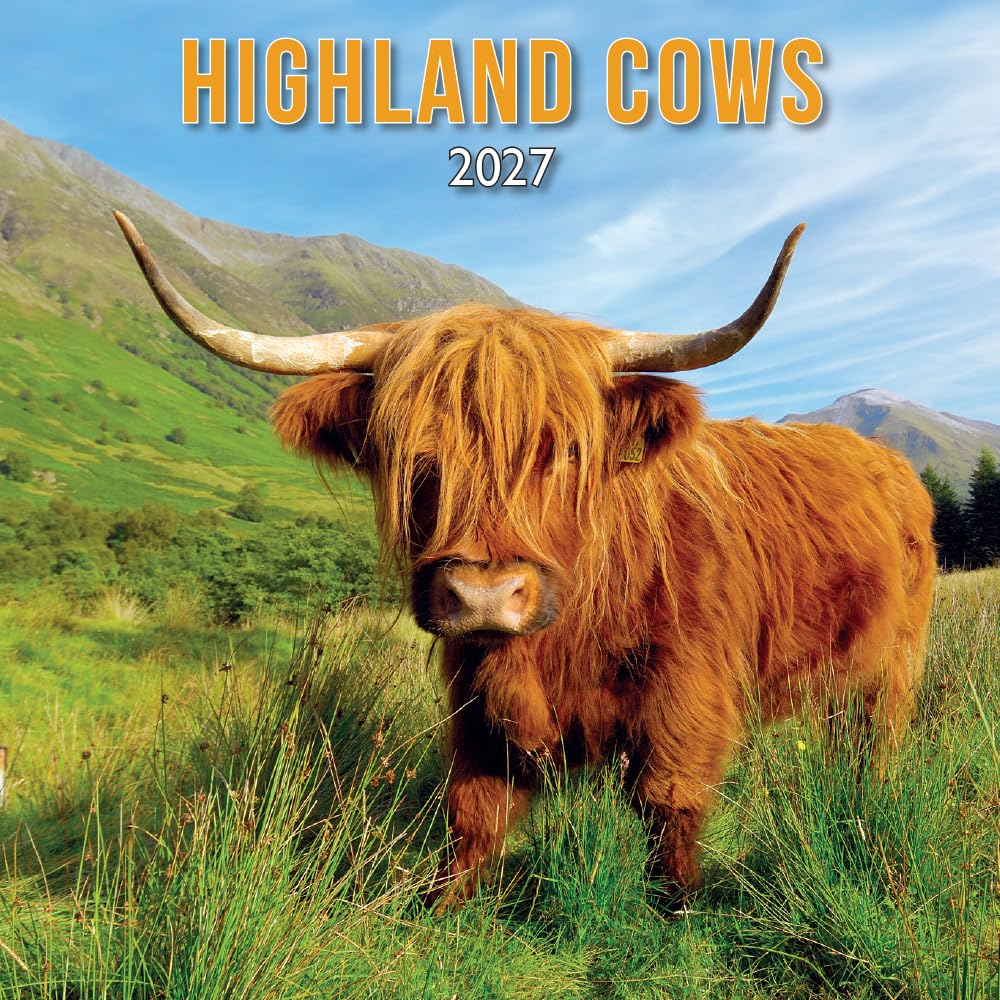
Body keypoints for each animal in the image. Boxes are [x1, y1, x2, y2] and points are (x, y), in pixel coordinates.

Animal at [113, 211, 936, 905]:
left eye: (564, 448)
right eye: (410, 455)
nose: (483, 595)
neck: (559, 643)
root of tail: (887, 463)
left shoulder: (687, 693)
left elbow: (668, 803)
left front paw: (676, 908)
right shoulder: (475, 700)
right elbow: (472, 812)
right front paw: (442, 910)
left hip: (895, 660)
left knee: (874, 742)